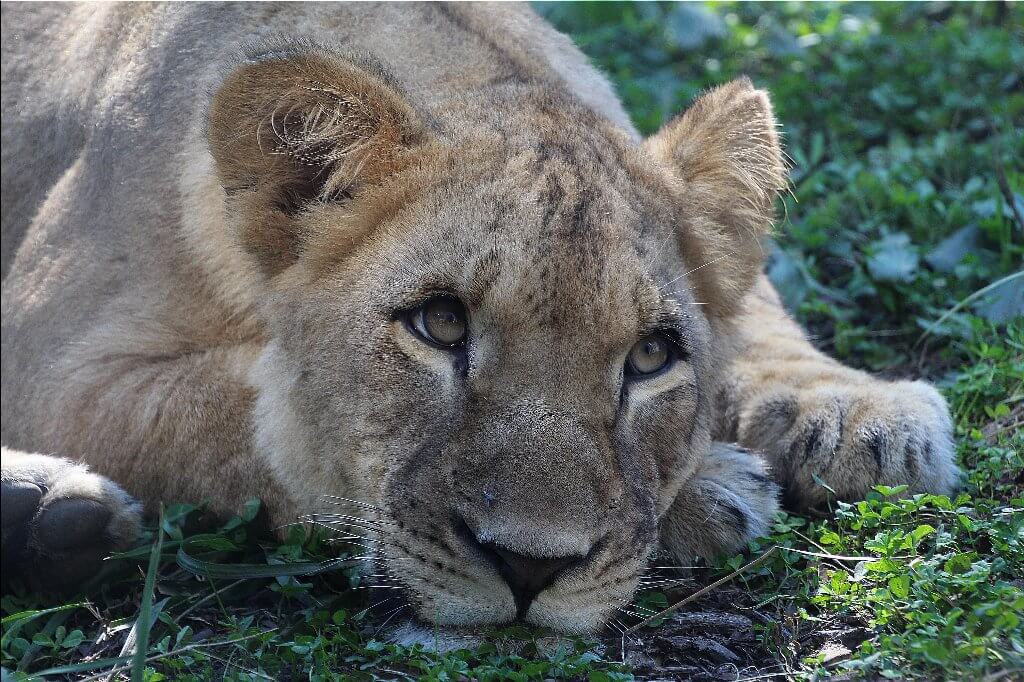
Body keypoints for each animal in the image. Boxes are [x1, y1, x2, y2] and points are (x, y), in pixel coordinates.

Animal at [2, 2, 958, 634]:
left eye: (652, 356)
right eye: (440, 326)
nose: (532, 568)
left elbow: (755, 302)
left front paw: (860, 416)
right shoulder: (55, 366)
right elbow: (253, 417)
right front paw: (711, 486)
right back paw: (49, 513)